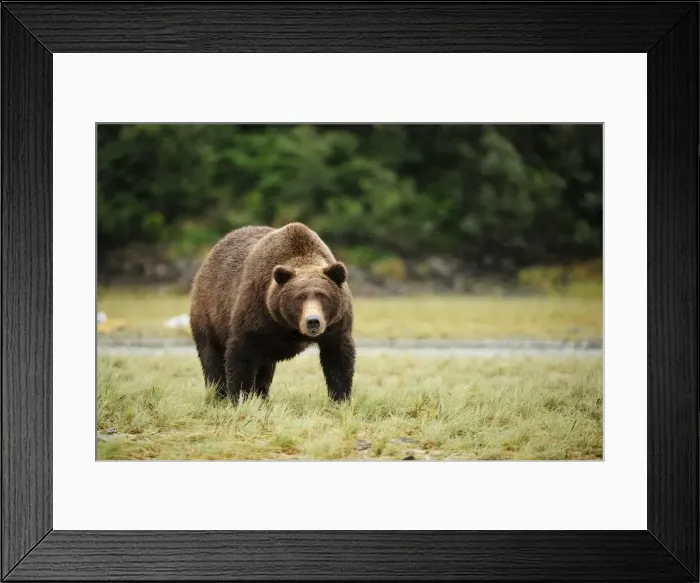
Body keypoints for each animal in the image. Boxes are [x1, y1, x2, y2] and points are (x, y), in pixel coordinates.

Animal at [189, 222, 355, 405]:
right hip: (209, 313)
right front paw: (239, 399)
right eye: (299, 297)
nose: (313, 321)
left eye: (322, 296)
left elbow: (338, 358)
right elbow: (240, 355)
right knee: (211, 357)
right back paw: (217, 396)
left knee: (265, 369)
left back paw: (262, 396)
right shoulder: (254, 313)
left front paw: (340, 400)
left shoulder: (337, 323)